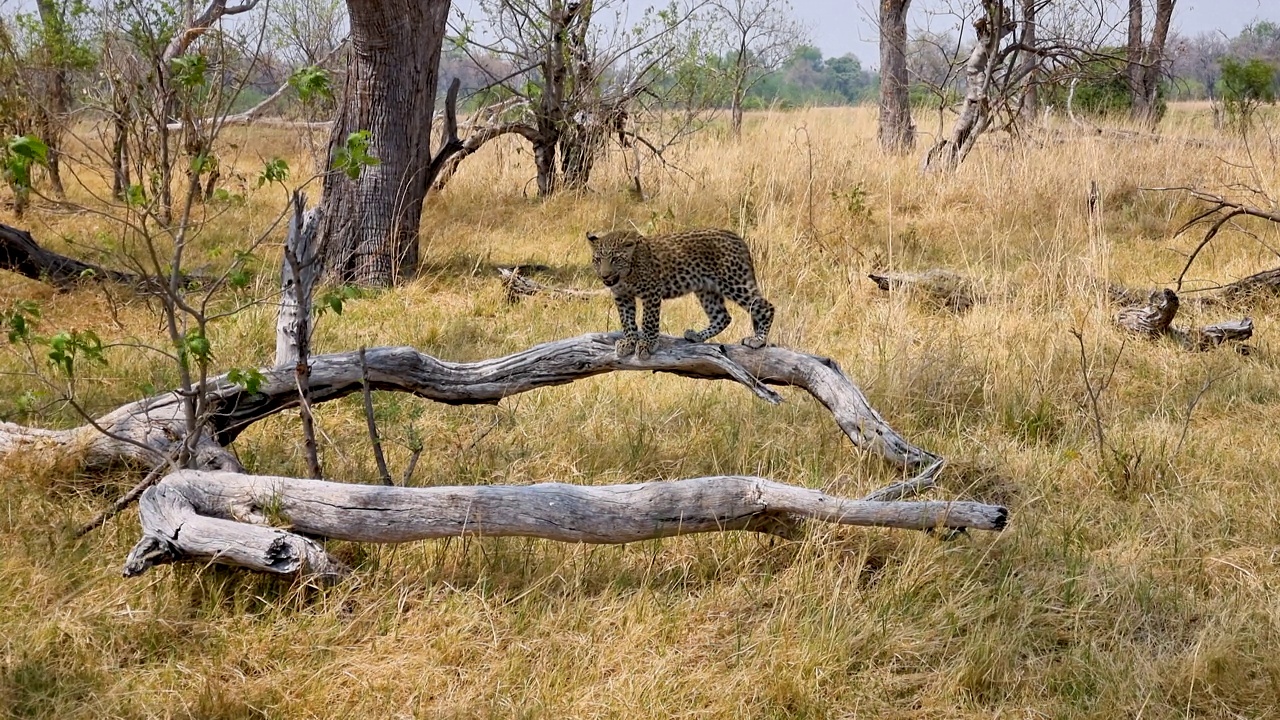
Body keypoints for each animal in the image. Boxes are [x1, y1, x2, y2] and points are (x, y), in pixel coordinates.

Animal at [586, 225, 773, 356]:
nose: (604, 275)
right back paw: (697, 336)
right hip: (706, 289)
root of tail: (736, 237)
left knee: (765, 306)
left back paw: (758, 340)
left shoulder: (652, 292)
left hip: (734, 282)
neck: (627, 274)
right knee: (723, 316)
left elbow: (648, 321)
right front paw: (629, 342)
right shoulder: (622, 296)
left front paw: (648, 344)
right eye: (597, 260)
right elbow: (627, 321)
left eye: (615, 259)